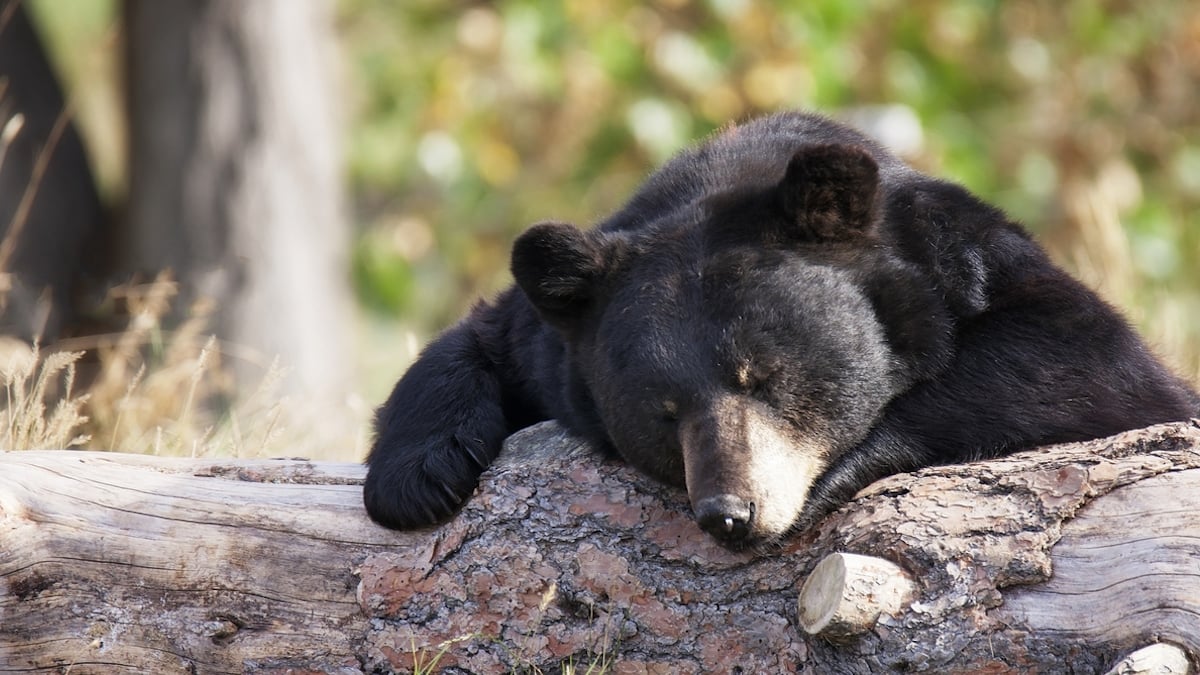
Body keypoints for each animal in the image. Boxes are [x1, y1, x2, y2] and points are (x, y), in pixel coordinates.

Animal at [360, 111, 1195, 547]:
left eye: (763, 376)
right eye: (663, 411)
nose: (729, 513)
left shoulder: (970, 259)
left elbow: (1091, 362)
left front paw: (843, 462)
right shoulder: (554, 339)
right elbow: (475, 338)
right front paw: (417, 478)